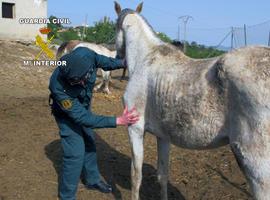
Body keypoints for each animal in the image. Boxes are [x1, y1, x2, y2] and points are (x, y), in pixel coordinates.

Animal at [114, 1, 270, 200]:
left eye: (114, 27)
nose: (118, 56)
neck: (146, 59)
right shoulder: (162, 136)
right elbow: (162, 175)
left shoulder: (135, 128)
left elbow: (136, 176)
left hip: (256, 166)